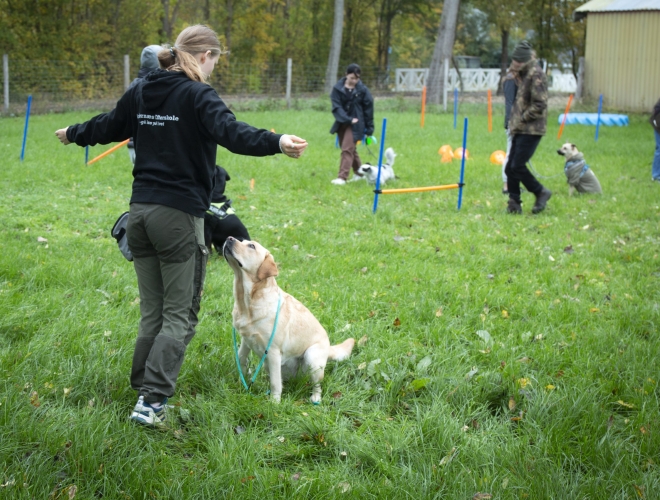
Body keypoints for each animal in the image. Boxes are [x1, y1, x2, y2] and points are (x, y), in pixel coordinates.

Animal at [223, 236, 356, 404]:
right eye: (242, 241)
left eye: (251, 246)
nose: (229, 238)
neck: (247, 303)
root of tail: (328, 348)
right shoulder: (246, 340)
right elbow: (241, 360)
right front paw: (242, 383)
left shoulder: (272, 351)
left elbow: (274, 383)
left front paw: (274, 403)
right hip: (269, 365)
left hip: (312, 357)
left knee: (317, 384)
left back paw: (315, 397)